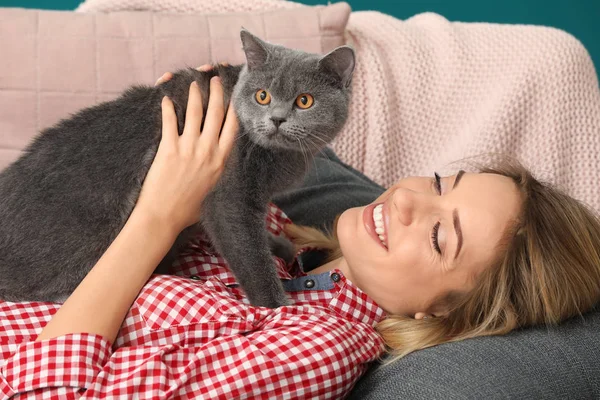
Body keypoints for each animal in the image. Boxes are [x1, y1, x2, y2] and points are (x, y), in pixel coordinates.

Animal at [0, 29, 356, 308]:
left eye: (305, 101)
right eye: (263, 96)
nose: (277, 119)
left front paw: (278, 245)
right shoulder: (228, 199)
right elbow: (249, 254)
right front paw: (277, 307)